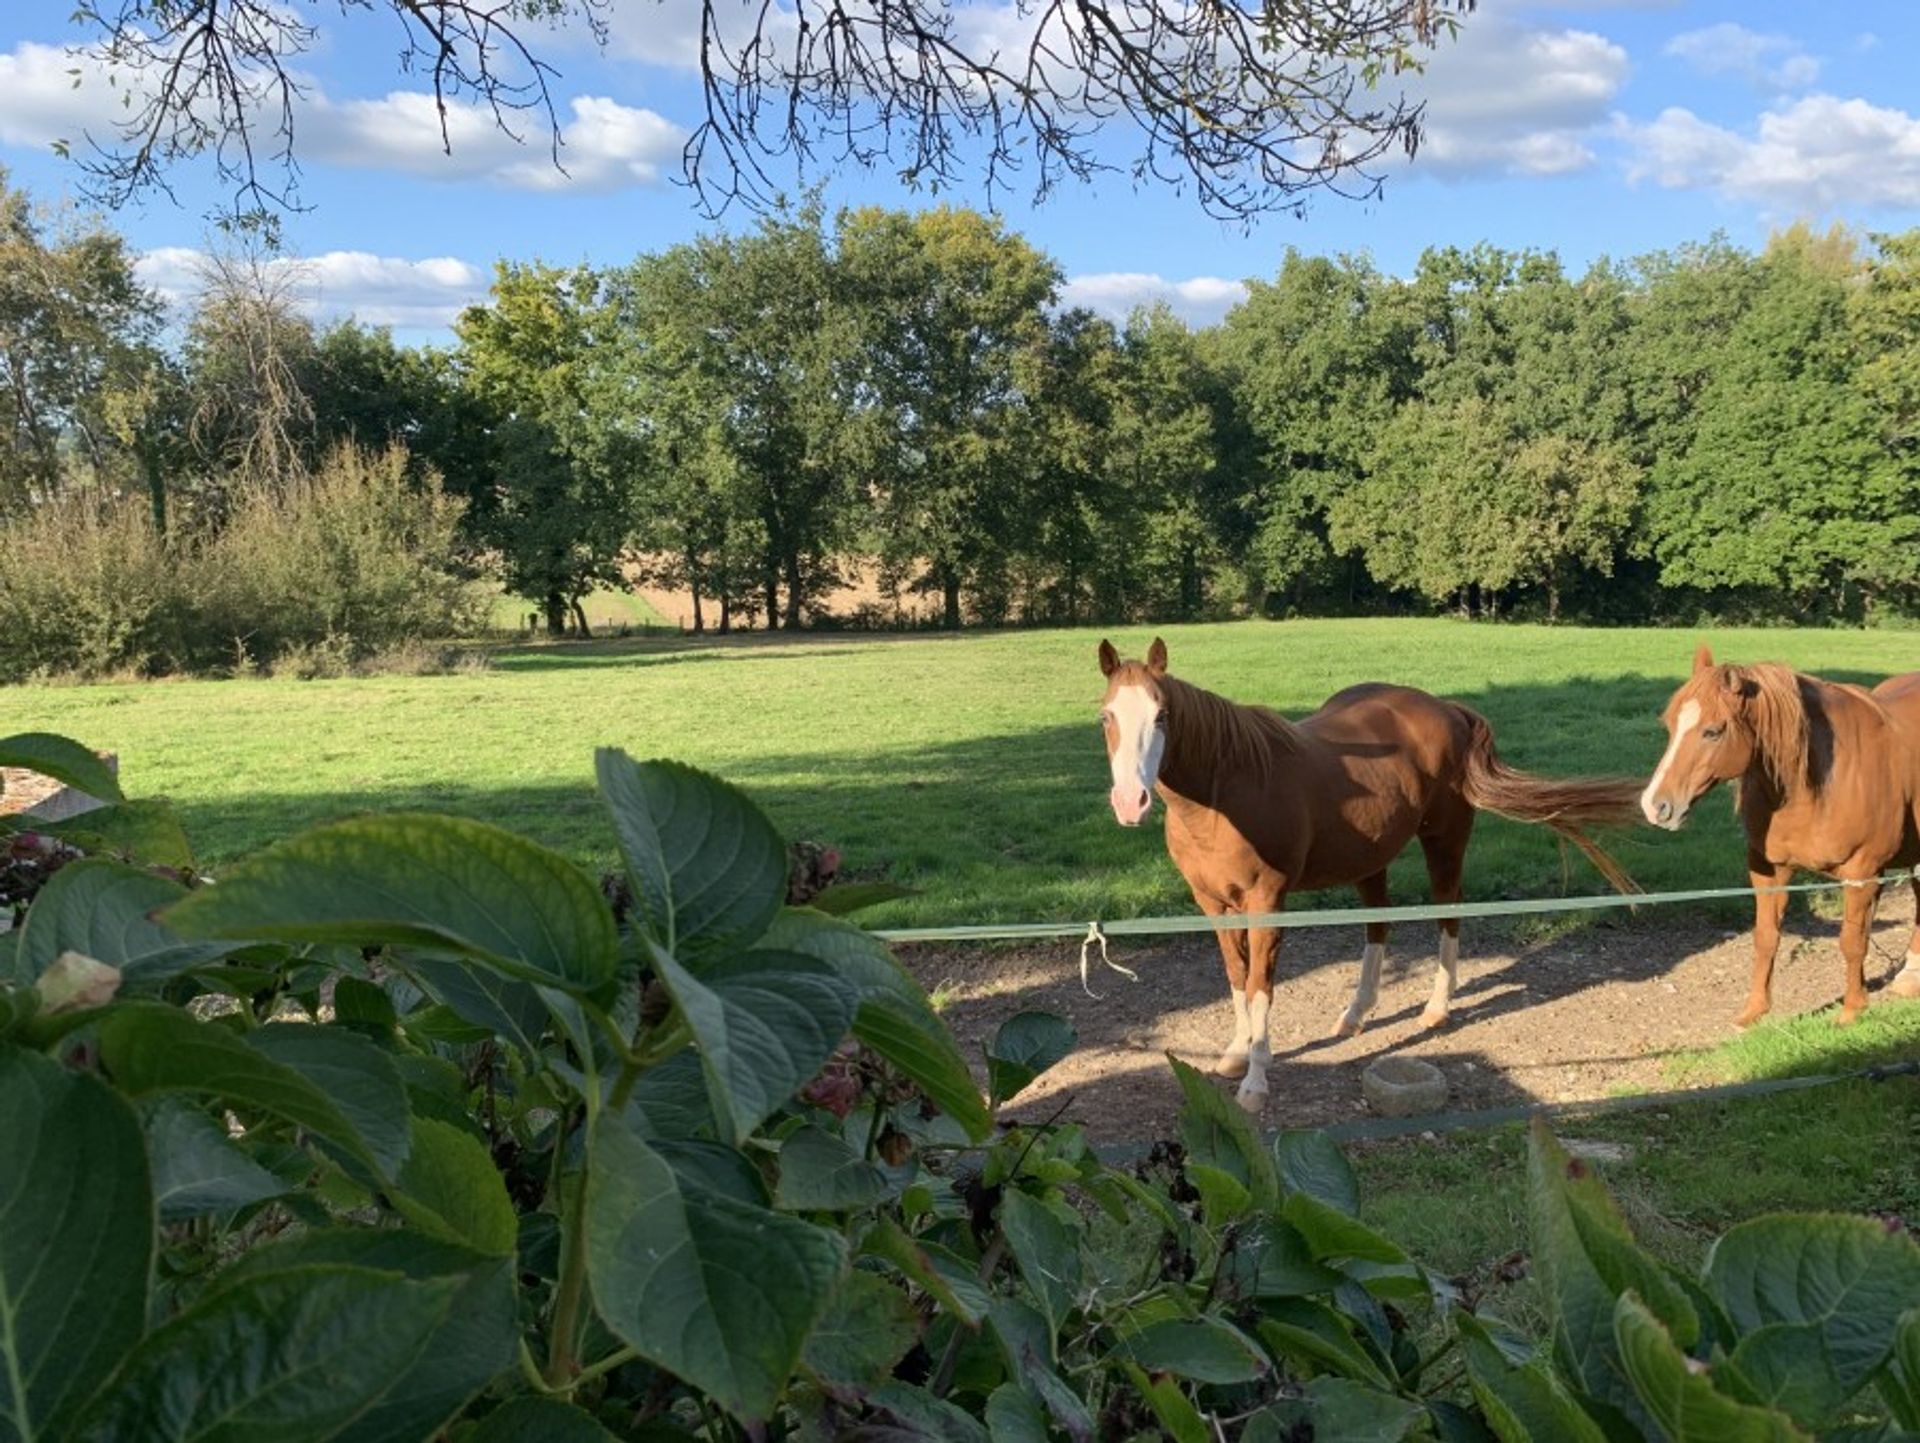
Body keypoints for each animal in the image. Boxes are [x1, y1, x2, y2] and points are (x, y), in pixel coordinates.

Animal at [1098, 633, 1635, 1112]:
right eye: (1106, 715)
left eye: (1162, 715)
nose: (1130, 802)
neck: (1225, 791)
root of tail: (1448, 709)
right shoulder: (1212, 904)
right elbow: (1236, 978)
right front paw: (1234, 1054)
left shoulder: (1267, 902)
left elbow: (1259, 986)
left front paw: (1255, 1080)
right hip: (1370, 858)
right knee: (1378, 924)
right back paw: (1356, 1013)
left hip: (1444, 842)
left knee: (1448, 914)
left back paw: (1437, 1009)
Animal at [1635, 640, 1920, 1028]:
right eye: (1670, 725)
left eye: (1713, 731)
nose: (1655, 806)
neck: (1817, 785)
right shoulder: (1770, 871)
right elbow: (1767, 938)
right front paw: (1754, 1012)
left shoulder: (1862, 873)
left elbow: (1852, 941)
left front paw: (1851, 1009)